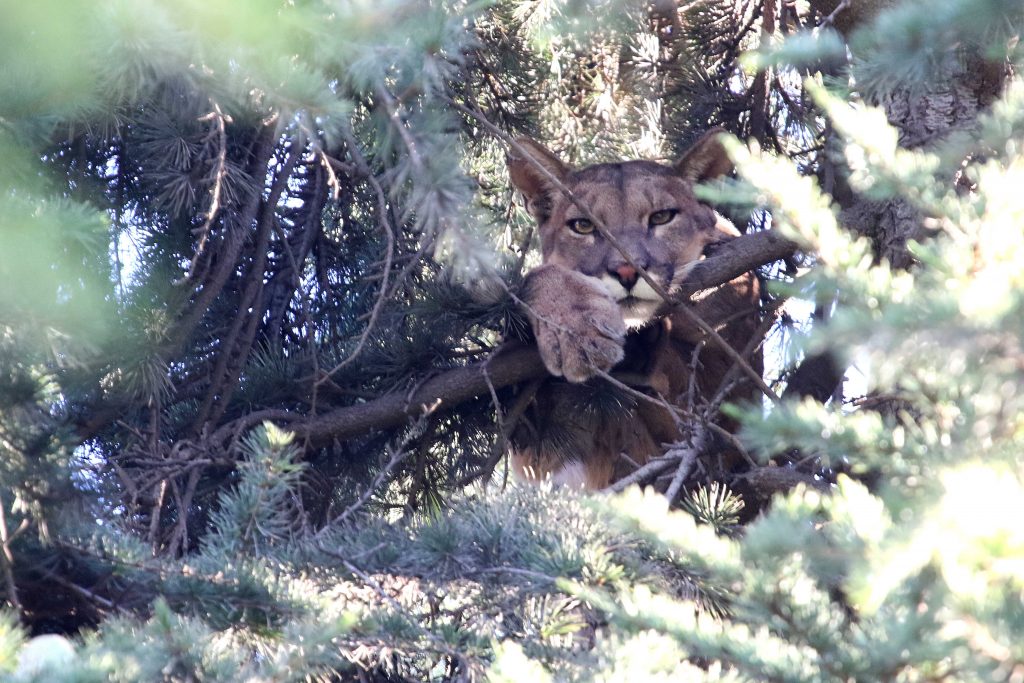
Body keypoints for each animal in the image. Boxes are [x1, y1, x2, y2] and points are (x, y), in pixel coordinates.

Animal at [507, 129, 765, 491]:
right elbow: (539, 275)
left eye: (662, 217)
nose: (628, 271)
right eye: (583, 226)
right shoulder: (541, 450)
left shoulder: (715, 389)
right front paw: (575, 330)